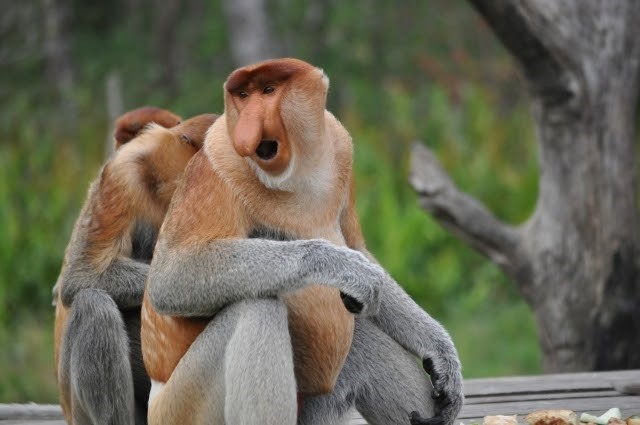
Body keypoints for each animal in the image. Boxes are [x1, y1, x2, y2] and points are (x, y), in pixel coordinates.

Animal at [141, 58, 460, 424]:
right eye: (243, 96)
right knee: (257, 307)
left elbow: (358, 247)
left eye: (268, 90)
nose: (246, 131)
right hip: (183, 404)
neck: (296, 173)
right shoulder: (217, 163)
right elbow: (171, 276)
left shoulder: (341, 146)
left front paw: (441, 354)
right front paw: (341, 265)